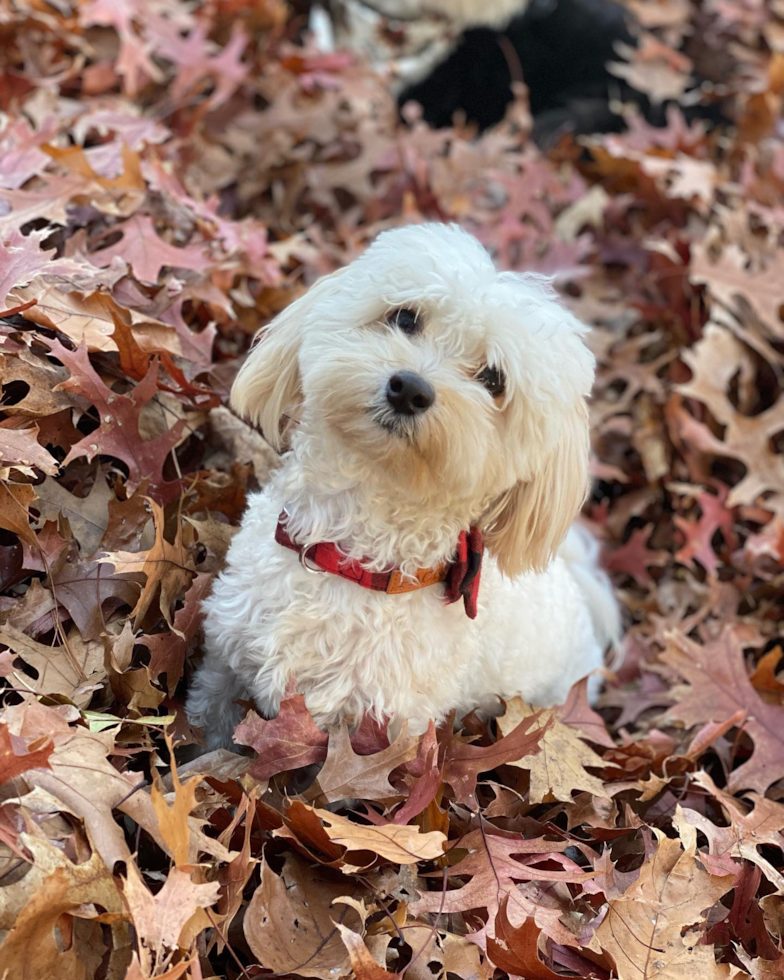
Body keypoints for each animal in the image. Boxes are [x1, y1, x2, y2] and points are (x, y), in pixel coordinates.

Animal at [185, 226, 620, 748]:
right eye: (405, 317)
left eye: (493, 379)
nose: (410, 388)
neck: (349, 554)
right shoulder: (225, 664)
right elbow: (205, 731)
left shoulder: (382, 730)